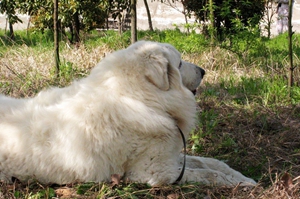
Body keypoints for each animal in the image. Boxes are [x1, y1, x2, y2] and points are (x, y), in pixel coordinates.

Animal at [0, 40, 255, 187]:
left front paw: (241, 176)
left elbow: (211, 163)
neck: (142, 99)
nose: (203, 71)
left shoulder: (171, 156)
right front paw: (240, 182)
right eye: (181, 63)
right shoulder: (157, 172)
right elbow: (208, 174)